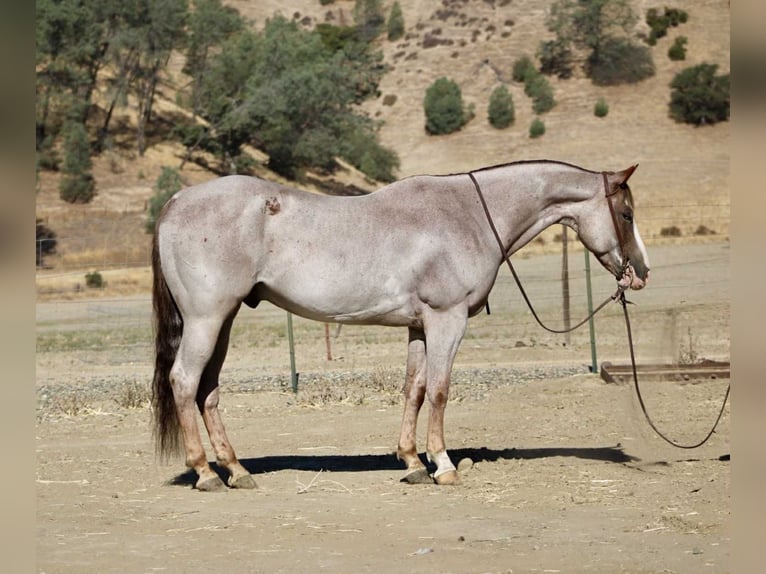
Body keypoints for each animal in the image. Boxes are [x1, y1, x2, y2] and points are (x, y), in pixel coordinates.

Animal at [151, 159, 650, 491]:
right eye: (626, 214)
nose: (641, 273)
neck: (467, 213)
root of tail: (175, 202)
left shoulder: (419, 326)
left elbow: (415, 388)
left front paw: (411, 462)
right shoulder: (447, 319)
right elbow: (441, 390)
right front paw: (442, 465)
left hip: (224, 320)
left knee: (208, 390)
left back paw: (236, 471)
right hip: (207, 319)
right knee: (185, 381)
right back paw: (205, 474)